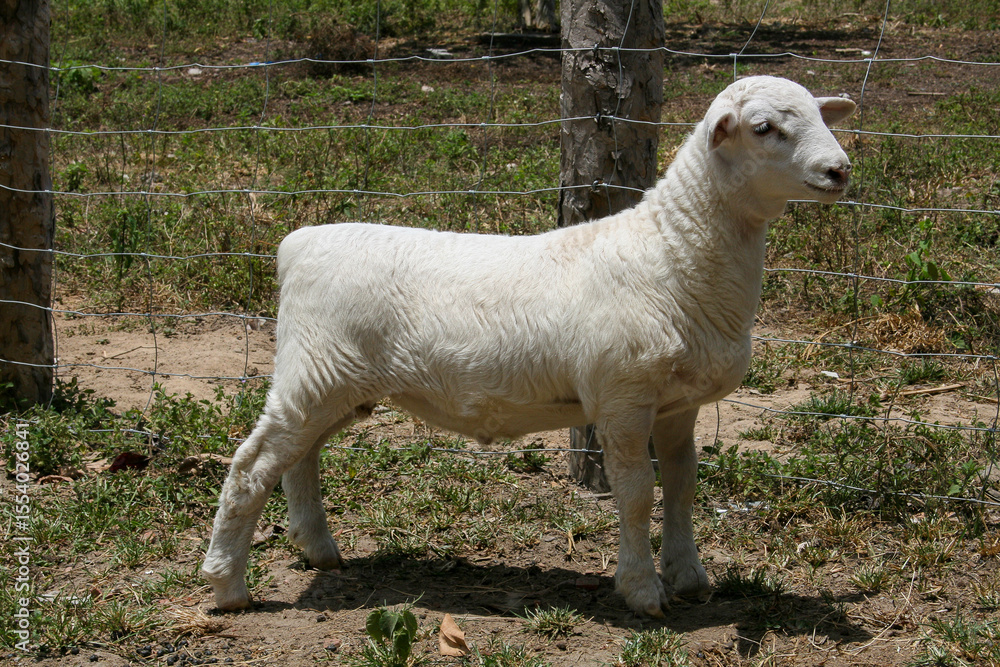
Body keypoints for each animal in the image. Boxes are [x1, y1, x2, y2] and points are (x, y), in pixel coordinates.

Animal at [201, 75, 856, 618]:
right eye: (764, 127)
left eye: (819, 114)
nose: (840, 171)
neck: (673, 250)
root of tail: (298, 244)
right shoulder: (622, 395)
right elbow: (637, 494)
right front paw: (642, 591)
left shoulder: (679, 403)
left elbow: (682, 483)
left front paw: (690, 577)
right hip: (314, 371)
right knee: (252, 466)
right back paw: (227, 585)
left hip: (335, 384)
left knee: (299, 458)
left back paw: (318, 550)